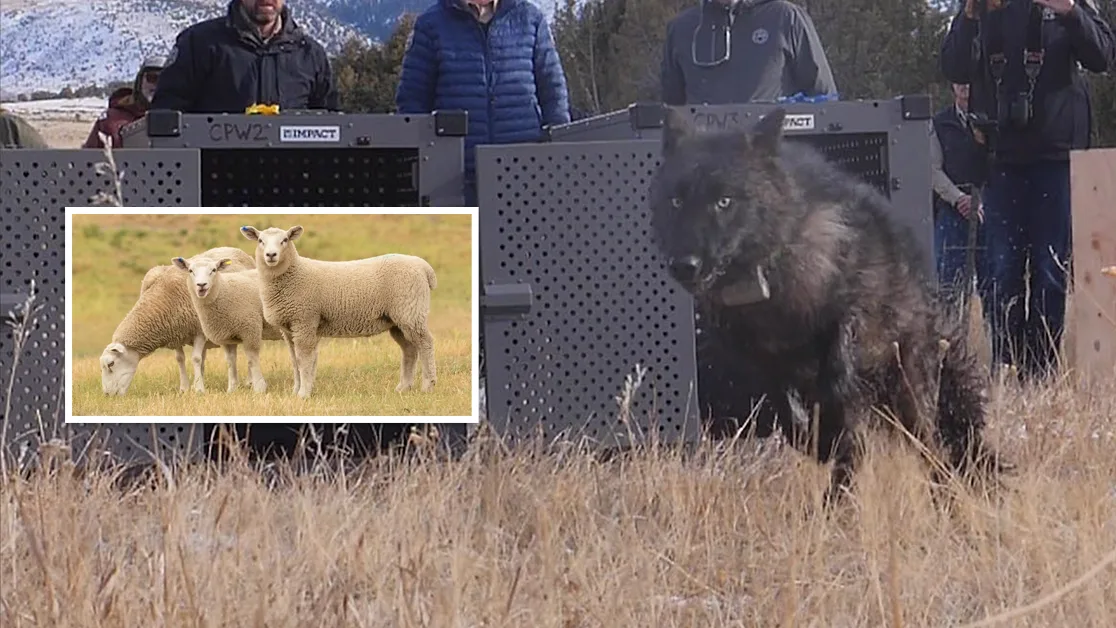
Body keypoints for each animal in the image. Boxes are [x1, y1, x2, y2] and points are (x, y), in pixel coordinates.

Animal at [648, 106, 1007, 504]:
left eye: (724, 201)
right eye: (676, 201)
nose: (684, 264)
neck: (770, 281)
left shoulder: (854, 319)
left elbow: (840, 360)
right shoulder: (764, 363)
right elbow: (786, 412)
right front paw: (816, 443)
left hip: (911, 387)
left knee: (928, 444)